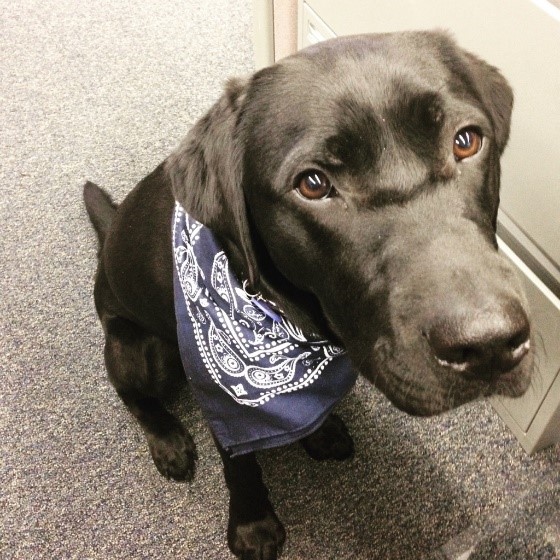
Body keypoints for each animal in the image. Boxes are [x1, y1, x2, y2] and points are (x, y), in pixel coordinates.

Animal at [83, 31, 532, 560]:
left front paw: (322, 430)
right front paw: (254, 526)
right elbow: (239, 464)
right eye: (313, 184)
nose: (489, 345)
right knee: (134, 397)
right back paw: (168, 440)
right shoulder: (224, 398)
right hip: (140, 349)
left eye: (466, 141)